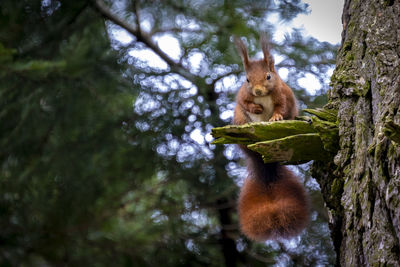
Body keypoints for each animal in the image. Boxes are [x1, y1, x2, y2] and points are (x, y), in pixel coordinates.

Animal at [233, 35, 308, 243]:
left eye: (268, 76)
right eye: (247, 79)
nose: (258, 91)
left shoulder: (282, 95)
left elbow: (280, 108)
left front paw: (275, 117)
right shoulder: (243, 95)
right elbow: (244, 102)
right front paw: (256, 108)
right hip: (239, 118)